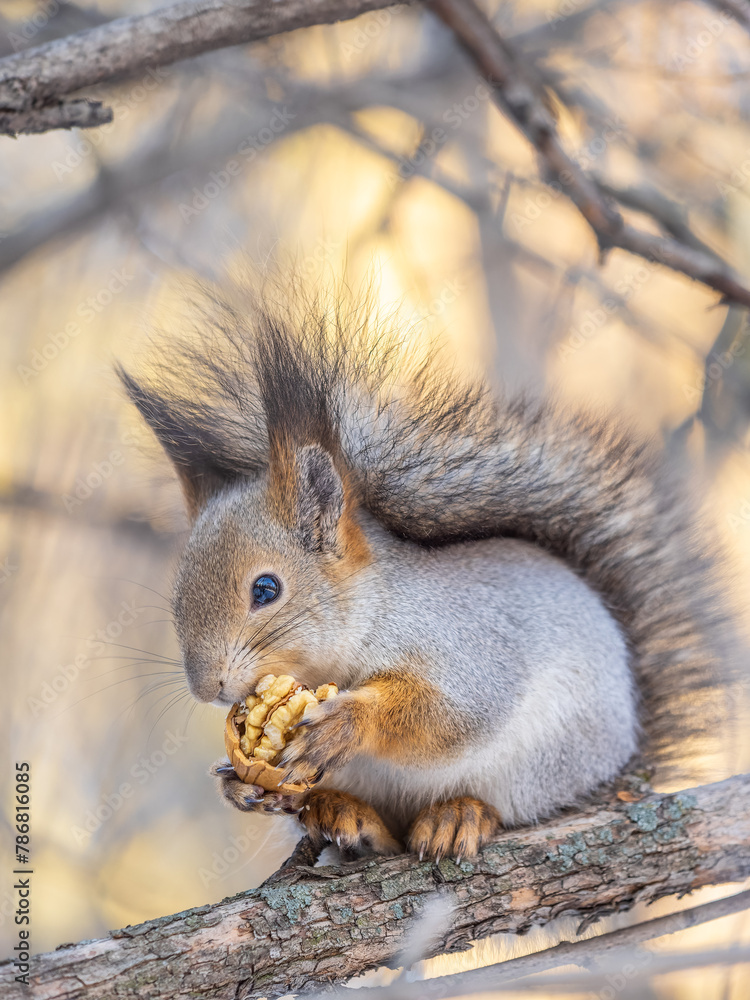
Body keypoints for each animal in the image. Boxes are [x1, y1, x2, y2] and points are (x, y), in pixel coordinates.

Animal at [119, 290, 735, 861]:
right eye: (176, 594)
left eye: (265, 589)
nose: (208, 688)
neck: (361, 630)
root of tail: (622, 767)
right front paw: (236, 785)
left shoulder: (464, 642)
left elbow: (451, 711)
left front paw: (347, 724)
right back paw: (343, 813)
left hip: (549, 761)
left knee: (504, 802)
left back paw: (458, 815)